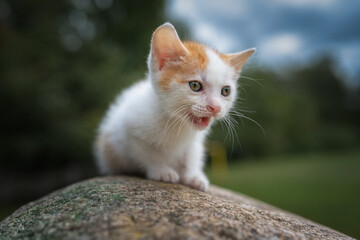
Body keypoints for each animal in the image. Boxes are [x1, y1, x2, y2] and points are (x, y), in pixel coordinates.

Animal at [94, 23, 255, 191]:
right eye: (195, 85)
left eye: (226, 91)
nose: (216, 107)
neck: (177, 124)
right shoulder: (131, 131)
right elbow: (148, 153)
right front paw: (162, 171)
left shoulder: (194, 143)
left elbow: (191, 156)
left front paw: (193, 176)